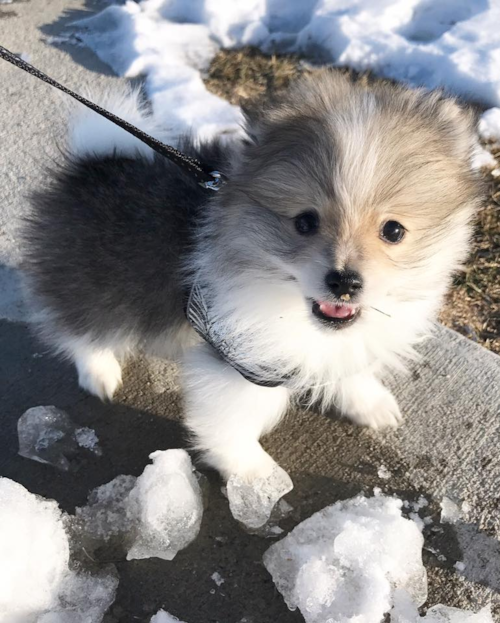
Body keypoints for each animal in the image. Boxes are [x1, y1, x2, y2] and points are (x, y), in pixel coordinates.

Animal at [23, 72, 484, 482]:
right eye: (304, 222)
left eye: (393, 230)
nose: (344, 282)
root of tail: (96, 163)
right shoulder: (239, 360)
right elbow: (230, 421)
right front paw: (254, 473)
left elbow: (348, 365)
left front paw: (368, 402)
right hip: (94, 278)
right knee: (79, 323)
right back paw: (99, 371)